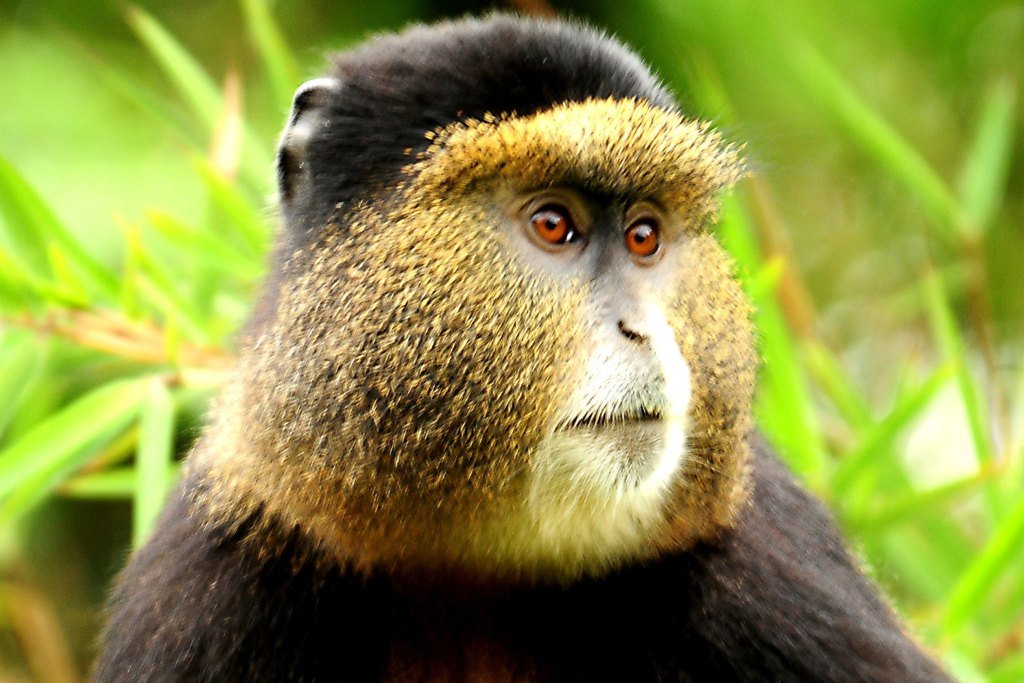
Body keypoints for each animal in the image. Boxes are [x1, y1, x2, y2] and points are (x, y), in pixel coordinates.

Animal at [94, 14, 952, 682]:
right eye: (553, 224)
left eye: (645, 235)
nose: (643, 328)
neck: (477, 567)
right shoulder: (209, 577)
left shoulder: (771, 559)